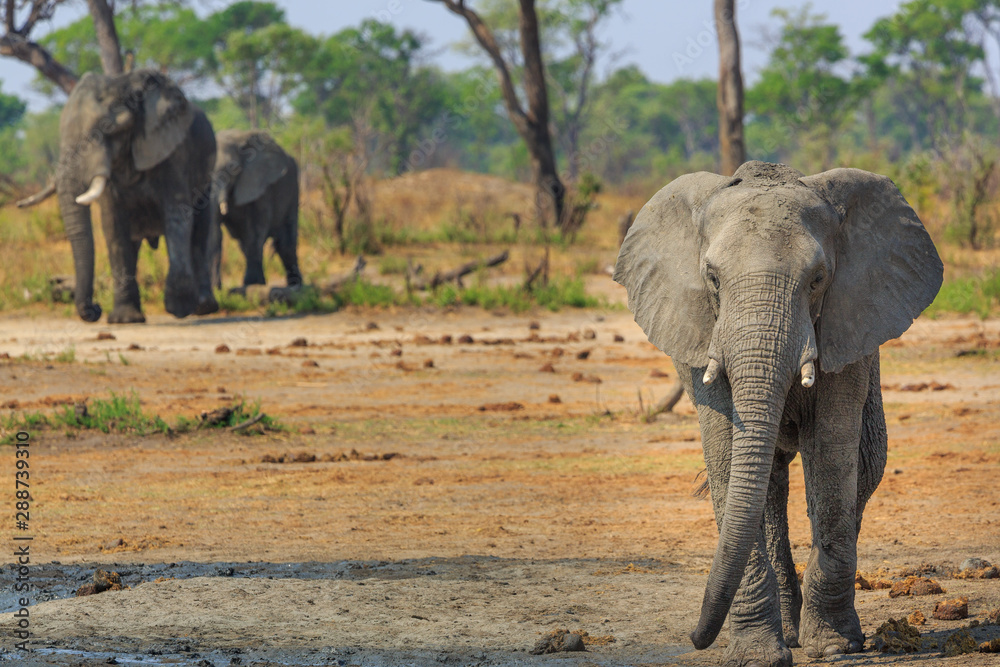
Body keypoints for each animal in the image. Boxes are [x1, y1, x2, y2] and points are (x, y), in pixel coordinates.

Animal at [209, 130, 301, 290]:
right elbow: (214, 233)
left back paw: (296, 286)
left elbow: (255, 229)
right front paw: (216, 290)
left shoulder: (261, 183)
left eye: (233, 169)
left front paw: (252, 283)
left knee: (286, 243)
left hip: (293, 188)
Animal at [614, 161, 942, 666]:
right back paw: (789, 631)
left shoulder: (846, 328)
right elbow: (728, 452)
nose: (695, 637)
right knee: (767, 483)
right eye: (712, 279)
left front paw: (834, 648)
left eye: (818, 279)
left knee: (863, 469)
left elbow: (830, 452)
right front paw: (757, 656)